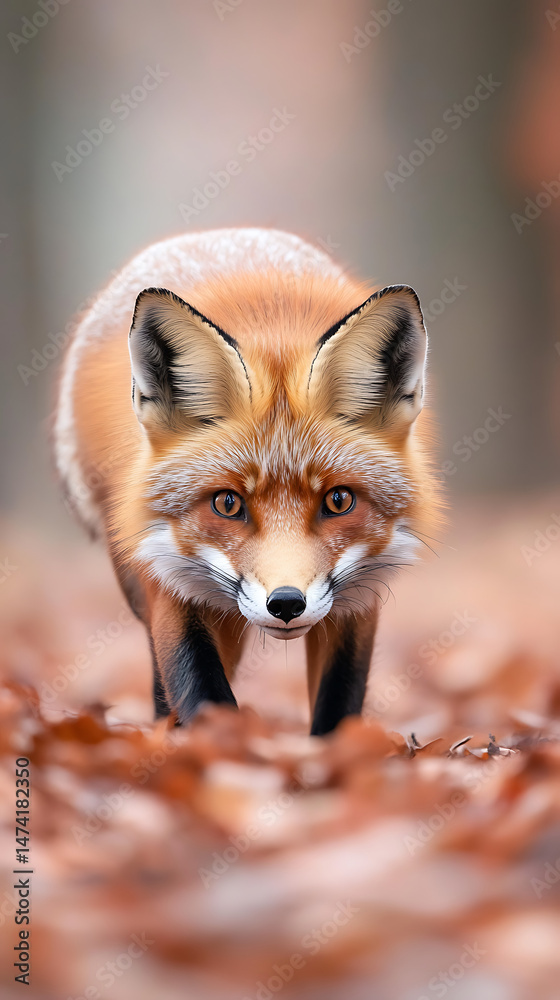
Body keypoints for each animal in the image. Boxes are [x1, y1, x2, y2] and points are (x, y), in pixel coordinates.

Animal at [54, 228, 438, 735]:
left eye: (338, 501)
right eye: (227, 503)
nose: (287, 603)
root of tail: (211, 234)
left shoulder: (359, 595)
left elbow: (338, 704)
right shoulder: (165, 572)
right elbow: (201, 691)